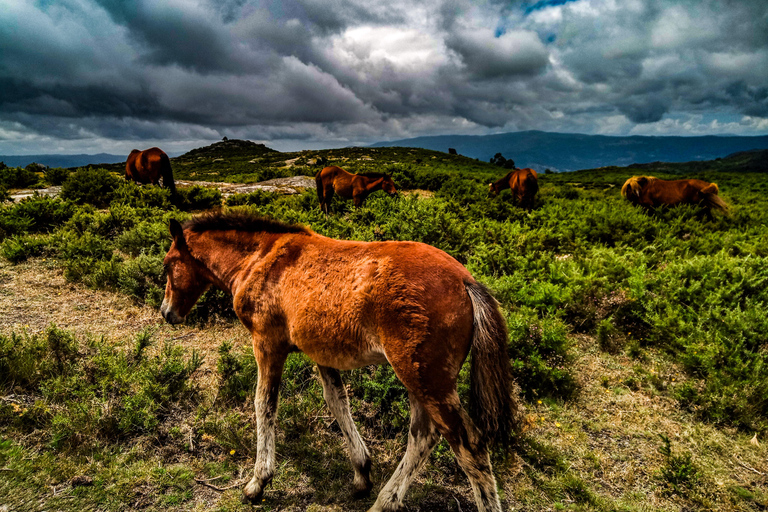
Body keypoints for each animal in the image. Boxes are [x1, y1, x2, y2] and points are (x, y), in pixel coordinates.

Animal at [159, 210, 524, 510]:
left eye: (167, 264)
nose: (167, 313)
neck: (262, 259)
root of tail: (466, 281)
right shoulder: (322, 353)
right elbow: (337, 402)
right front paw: (362, 472)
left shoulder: (267, 343)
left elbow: (264, 404)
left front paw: (258, 482)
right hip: (420, 378)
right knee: (424, 434)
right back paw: (384, 501)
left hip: (424, 377)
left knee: (468, 445)